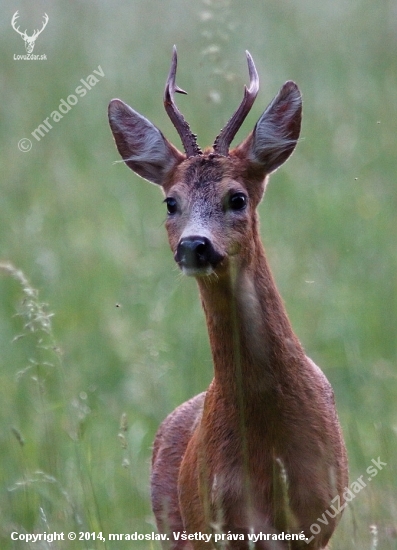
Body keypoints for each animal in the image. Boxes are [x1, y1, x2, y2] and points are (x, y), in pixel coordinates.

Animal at [108, 48, 346, 550]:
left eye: (237, 198)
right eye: (170, 202)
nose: (194, 246)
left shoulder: (319, 516)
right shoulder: (224, 519)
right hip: (177, 526)